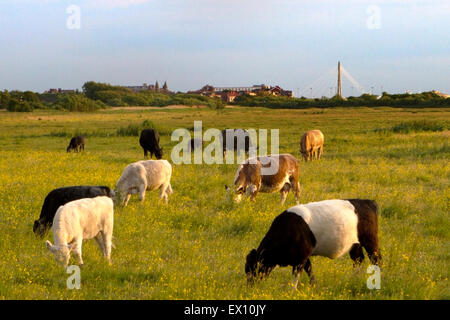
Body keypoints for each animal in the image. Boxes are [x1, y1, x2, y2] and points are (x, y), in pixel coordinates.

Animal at [244, 199, 382, 288]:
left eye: (253, 268)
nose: (250, 286)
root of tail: (366, 201)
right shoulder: (305, 256)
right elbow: (309, 269)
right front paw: (313, 285)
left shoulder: (301, 257)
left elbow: (296, 275)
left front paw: (291, 290)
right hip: (354, 244)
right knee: (358, 259)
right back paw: (354, 278)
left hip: (370, 240)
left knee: (376, 259)